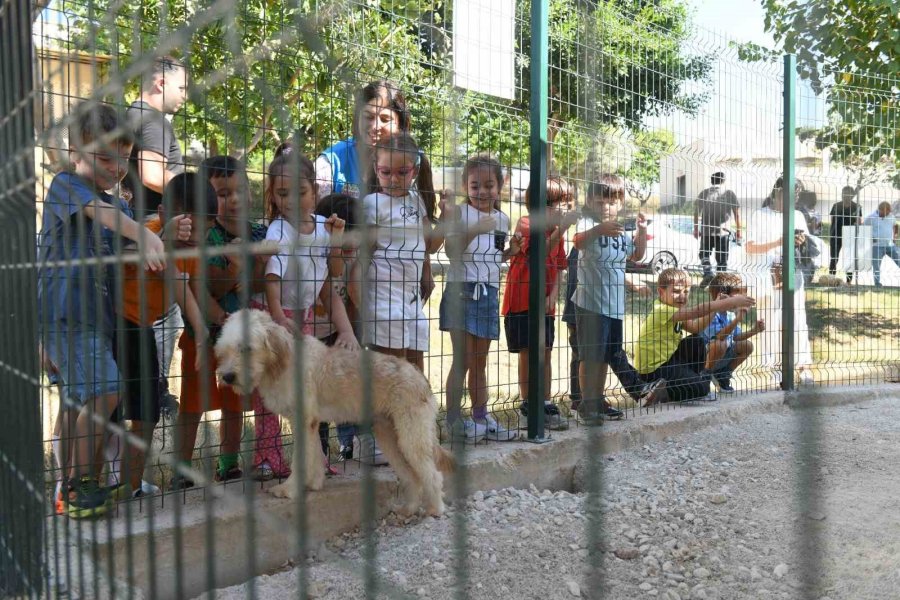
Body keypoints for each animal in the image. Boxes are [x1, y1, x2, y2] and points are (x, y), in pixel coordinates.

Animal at [210, 310, 450, 516]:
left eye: (246, 348)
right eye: (224, 350)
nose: (227, 377)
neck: (282, 362)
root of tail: (421, 379)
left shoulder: (303, 421)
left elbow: (300, 460)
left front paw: (289, 489)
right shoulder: (310, 423)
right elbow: (316, 454)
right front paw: (314, 483)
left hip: (411, 438)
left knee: (433, 476)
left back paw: (435, 509)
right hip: (390, 438)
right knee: (412, 477)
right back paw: (408, 509)